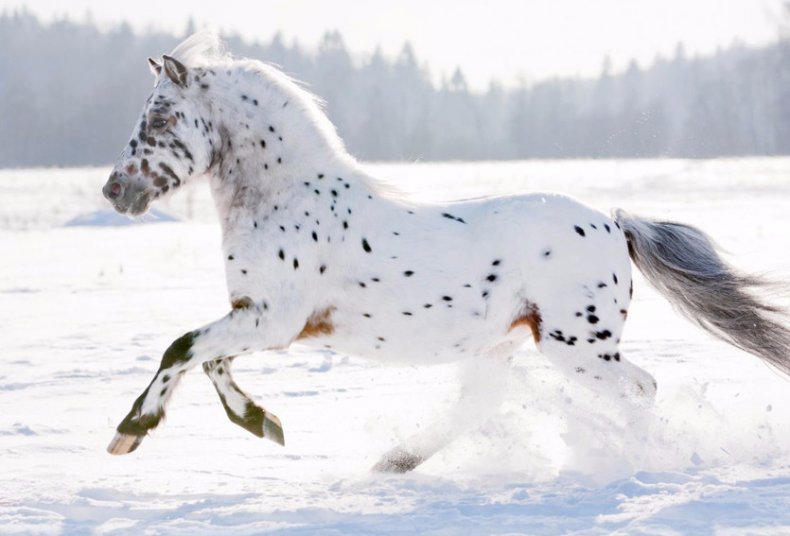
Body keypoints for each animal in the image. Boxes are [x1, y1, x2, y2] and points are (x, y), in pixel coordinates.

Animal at [100, 31, 790, 472]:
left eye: (161, 118)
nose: (116, 190)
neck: (285, 198)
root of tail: (612, 224)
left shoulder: (273, 321)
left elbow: (181, 348)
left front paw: (130, 433)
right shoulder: (256, 318)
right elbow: (208, 360)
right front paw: (264, 423)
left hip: (577, 346)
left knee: (641, 389)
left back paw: (633, 460)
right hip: (503, 344)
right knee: (477, 409)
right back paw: (392, 464)